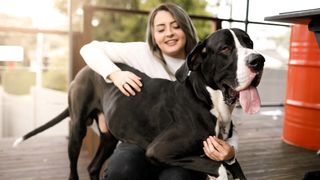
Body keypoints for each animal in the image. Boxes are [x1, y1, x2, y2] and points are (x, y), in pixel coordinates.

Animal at [13, 28, 264, 180]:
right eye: (225, 48)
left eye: (250, 42)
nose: (258, 60)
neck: (207, 100)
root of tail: (82, 71)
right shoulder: (158, 150)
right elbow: (216, 165)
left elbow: (231, 163)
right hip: (77, 128)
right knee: (74, 165)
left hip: (109, 136)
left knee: (93, 166)